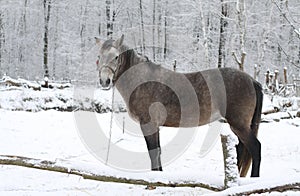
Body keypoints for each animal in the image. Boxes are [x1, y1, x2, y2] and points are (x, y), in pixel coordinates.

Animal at [95, 34, 262, 177]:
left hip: (239, 125)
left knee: (255, 149)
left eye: (116, 57)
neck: (143, 81)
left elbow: (153, 152)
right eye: (99, 56)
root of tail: (251, 80)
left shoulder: (148, 124)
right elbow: (157, 152)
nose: (105, 81)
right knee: (241, 150)